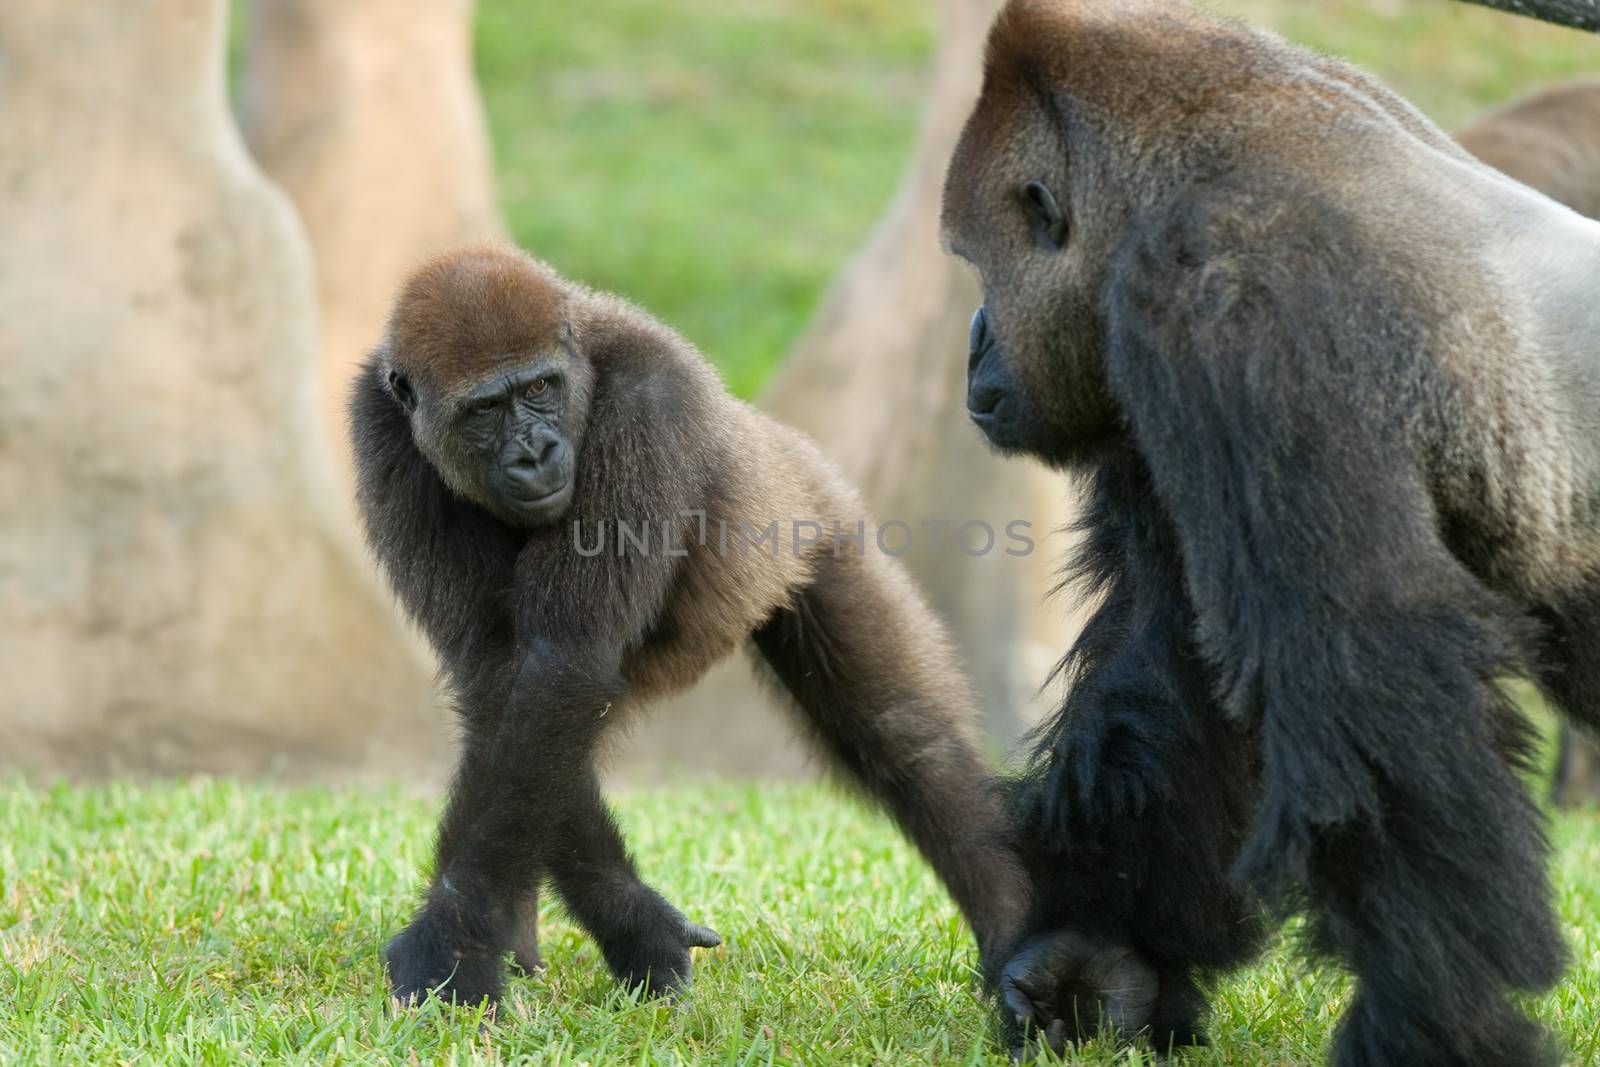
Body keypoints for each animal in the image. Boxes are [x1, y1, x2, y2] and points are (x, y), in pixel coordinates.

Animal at [352, 247, 1030, 1011]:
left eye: (540, 388)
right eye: (485, 410)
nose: (535, 451)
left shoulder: (651, 400)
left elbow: (559, 670)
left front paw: (459, 940)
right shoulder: (379, 426)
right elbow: (506, 684)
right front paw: (621, 917)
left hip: (820, 520)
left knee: (903, 734)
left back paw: (1011, 925)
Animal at [934, 2, 1600, 1067]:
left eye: (975, 266)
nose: (973, 346)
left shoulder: (1225, 299)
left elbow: (1365, 665)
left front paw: (1432, 1021)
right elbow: (1178, 665)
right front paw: (1101, 953)